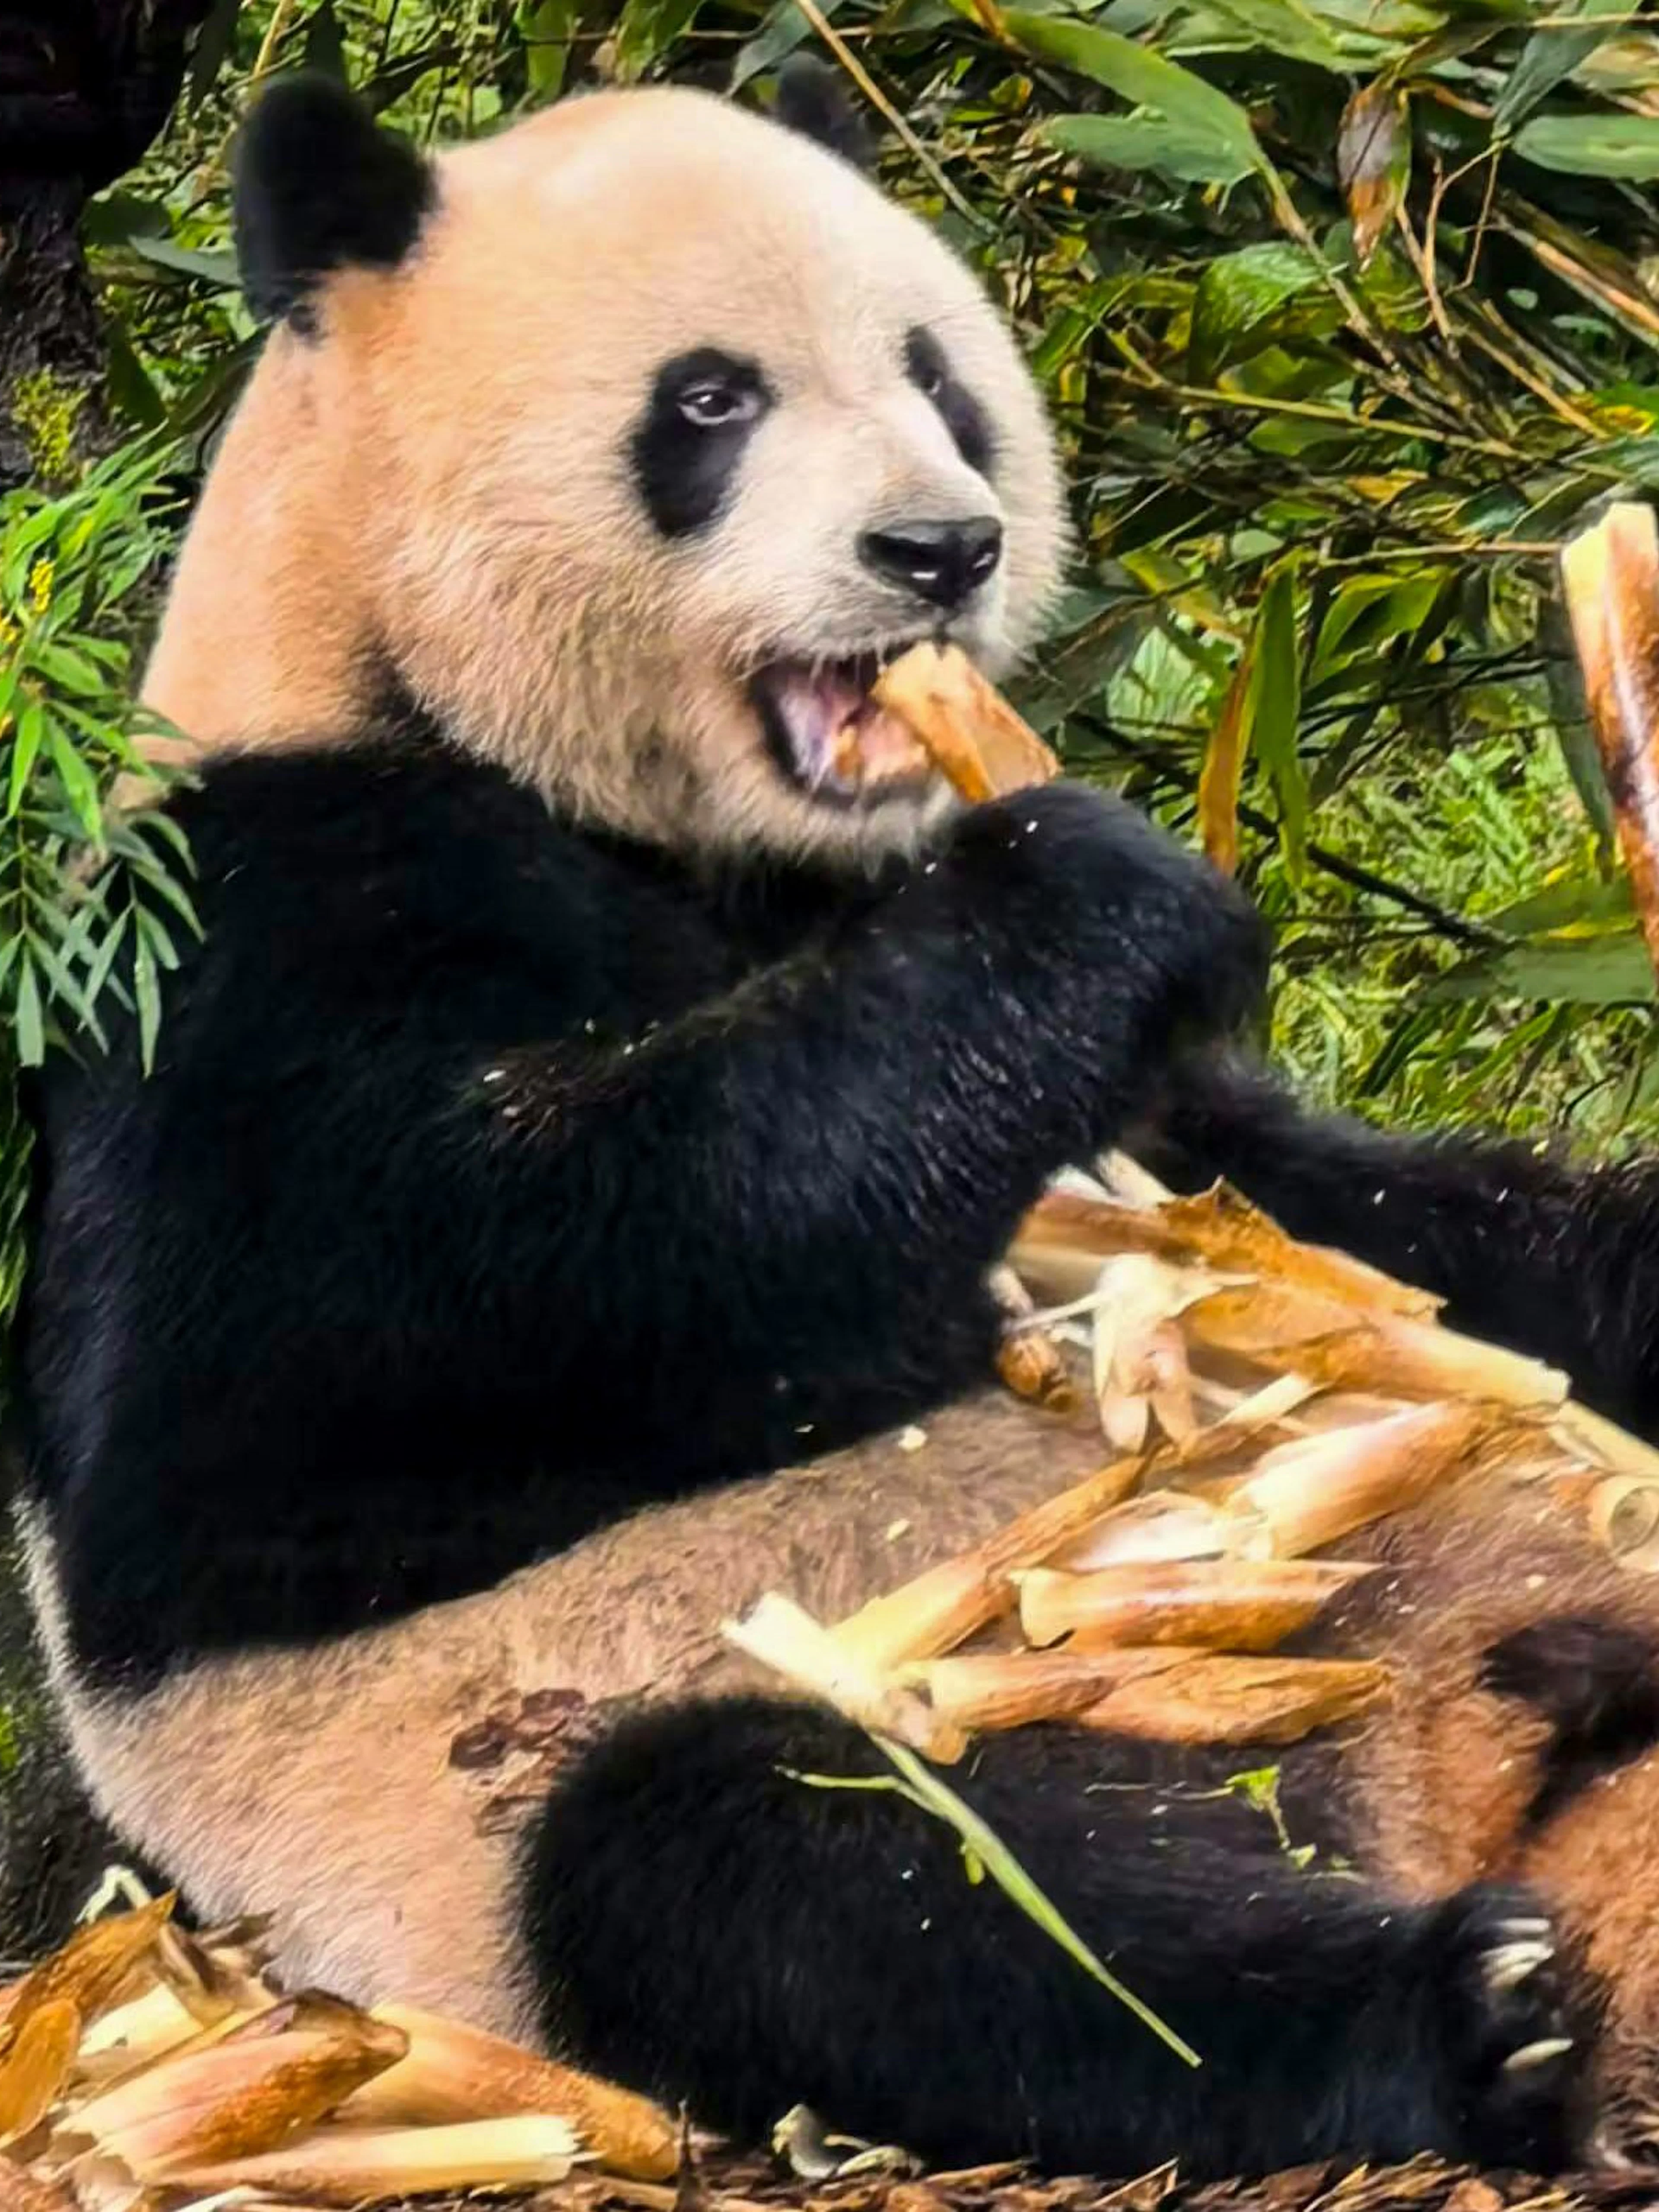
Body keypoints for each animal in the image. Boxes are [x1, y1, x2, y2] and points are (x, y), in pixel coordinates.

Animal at [14, 61, 1659, 2188]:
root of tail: (1448, 1756)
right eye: (709, 403)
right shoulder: (250, 931)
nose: (940, 548)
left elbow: (1338, 1209)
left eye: (935, 376)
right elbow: (386, 1352)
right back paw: (1476, 2011)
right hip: (712, 1734)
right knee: (852, 1883)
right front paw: (1087, 893)